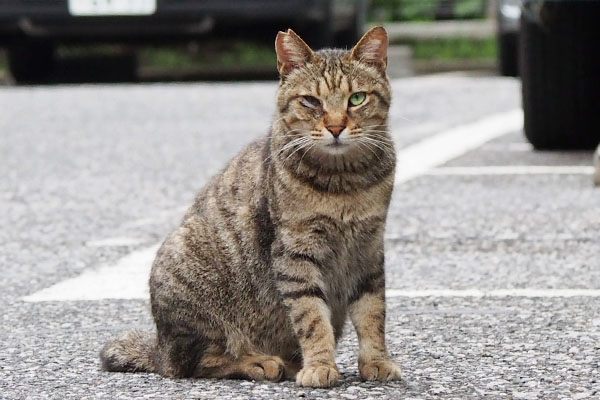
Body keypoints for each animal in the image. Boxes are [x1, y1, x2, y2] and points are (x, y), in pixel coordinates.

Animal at [101, 25, 400, 388]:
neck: (344, 183)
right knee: (195, 363)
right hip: (188, 279)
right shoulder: (295, 251)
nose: (335, 127)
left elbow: (373, 312)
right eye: (311, 101)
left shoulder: (368, 250)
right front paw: (319, 365)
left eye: (357, 98)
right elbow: (311, 317)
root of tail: (160, 346)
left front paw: (376, 361)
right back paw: (260, 362)